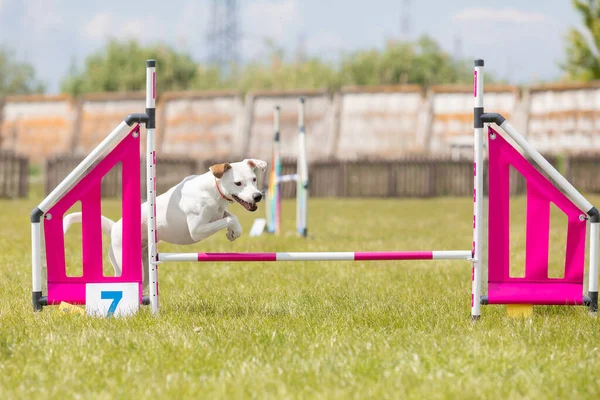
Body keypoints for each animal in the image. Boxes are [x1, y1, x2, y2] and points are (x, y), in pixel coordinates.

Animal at [63, 158, 268, 286]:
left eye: (254, 179)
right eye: (238, 183)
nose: (257, 196)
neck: (213, 190)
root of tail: (114, 227)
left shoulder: (219, 212)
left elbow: (230, 216)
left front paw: (234, 232)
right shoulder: (197, 230)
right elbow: (227, 219)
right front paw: (232, 229)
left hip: (145, 268)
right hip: (127, 262)